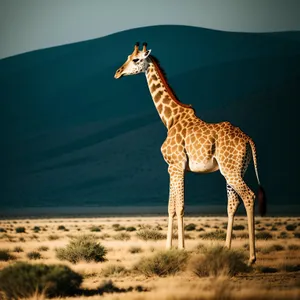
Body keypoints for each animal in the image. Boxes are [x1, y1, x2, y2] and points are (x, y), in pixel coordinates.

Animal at [113, 42, 266, 264]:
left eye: (136, 59)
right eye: (127, 56)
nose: (118, 72)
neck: (170, 119)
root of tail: (248, 140)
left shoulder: (176, 165)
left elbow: (179, 206)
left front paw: (181, 249)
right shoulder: (173, 168)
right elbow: (171, 207)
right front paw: (169, 248)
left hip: (231, 171)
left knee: (249, 196)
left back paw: (252, 257)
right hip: (236, 170)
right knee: (232, 203)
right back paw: (227, 249)